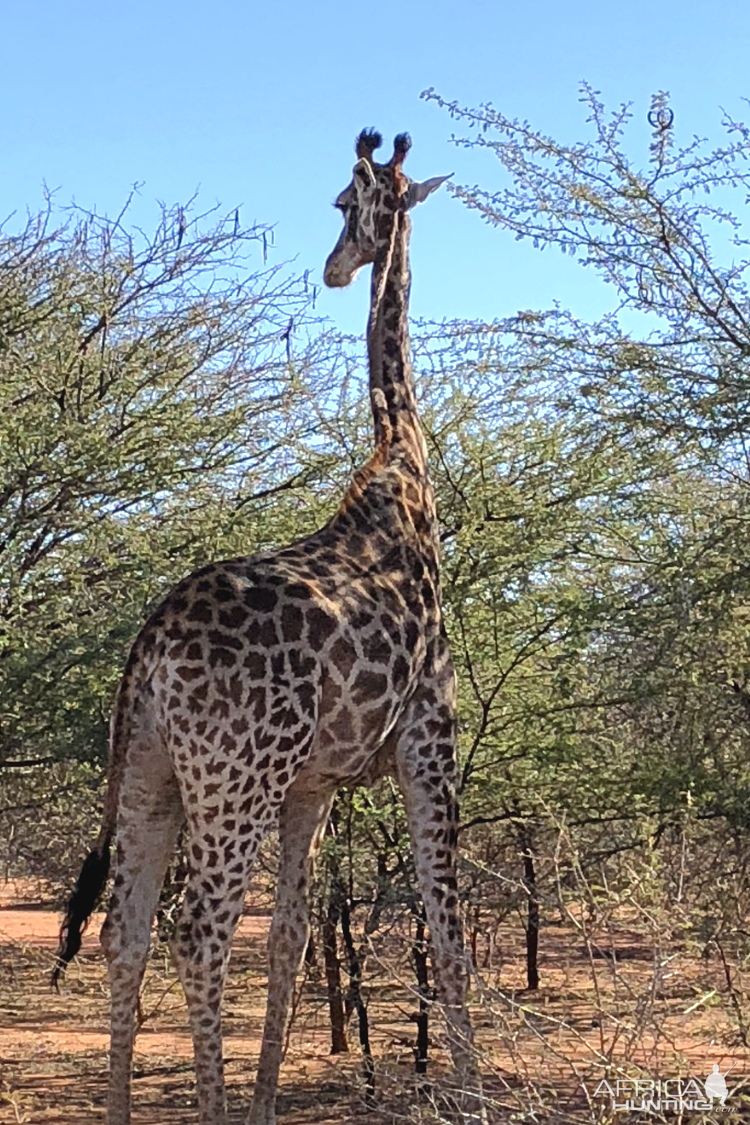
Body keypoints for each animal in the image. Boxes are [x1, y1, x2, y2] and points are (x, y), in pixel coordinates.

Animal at [55, 127, 483, 1125]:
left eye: (347, 205)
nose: (333, 266)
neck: (405, 469)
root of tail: (147, 646)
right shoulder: (428, 740)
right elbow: (447, 925)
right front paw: (476, 1091)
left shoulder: (312, 788)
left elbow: (292, 938)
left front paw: (264, 1101)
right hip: (233, 778)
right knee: (199, 934)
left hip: (152, 776)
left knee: (125, 934)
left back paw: (129, 1108)